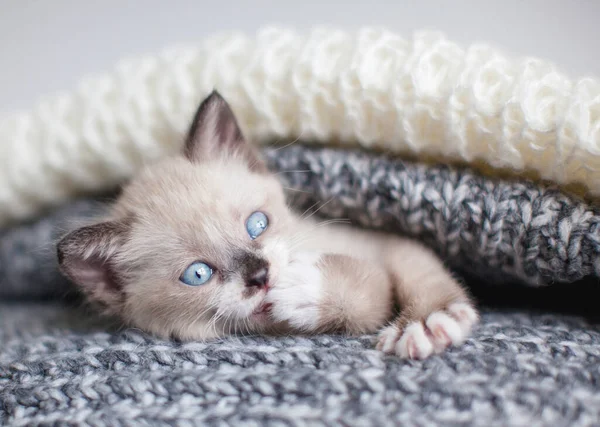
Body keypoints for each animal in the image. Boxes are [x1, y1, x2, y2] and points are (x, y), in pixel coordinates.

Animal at [56, 92, 478, 360]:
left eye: (257, 224)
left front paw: (424, 324)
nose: (260, 276)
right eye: (197, 274)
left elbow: (402, 279)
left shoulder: (387, 242)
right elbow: (368, 294)